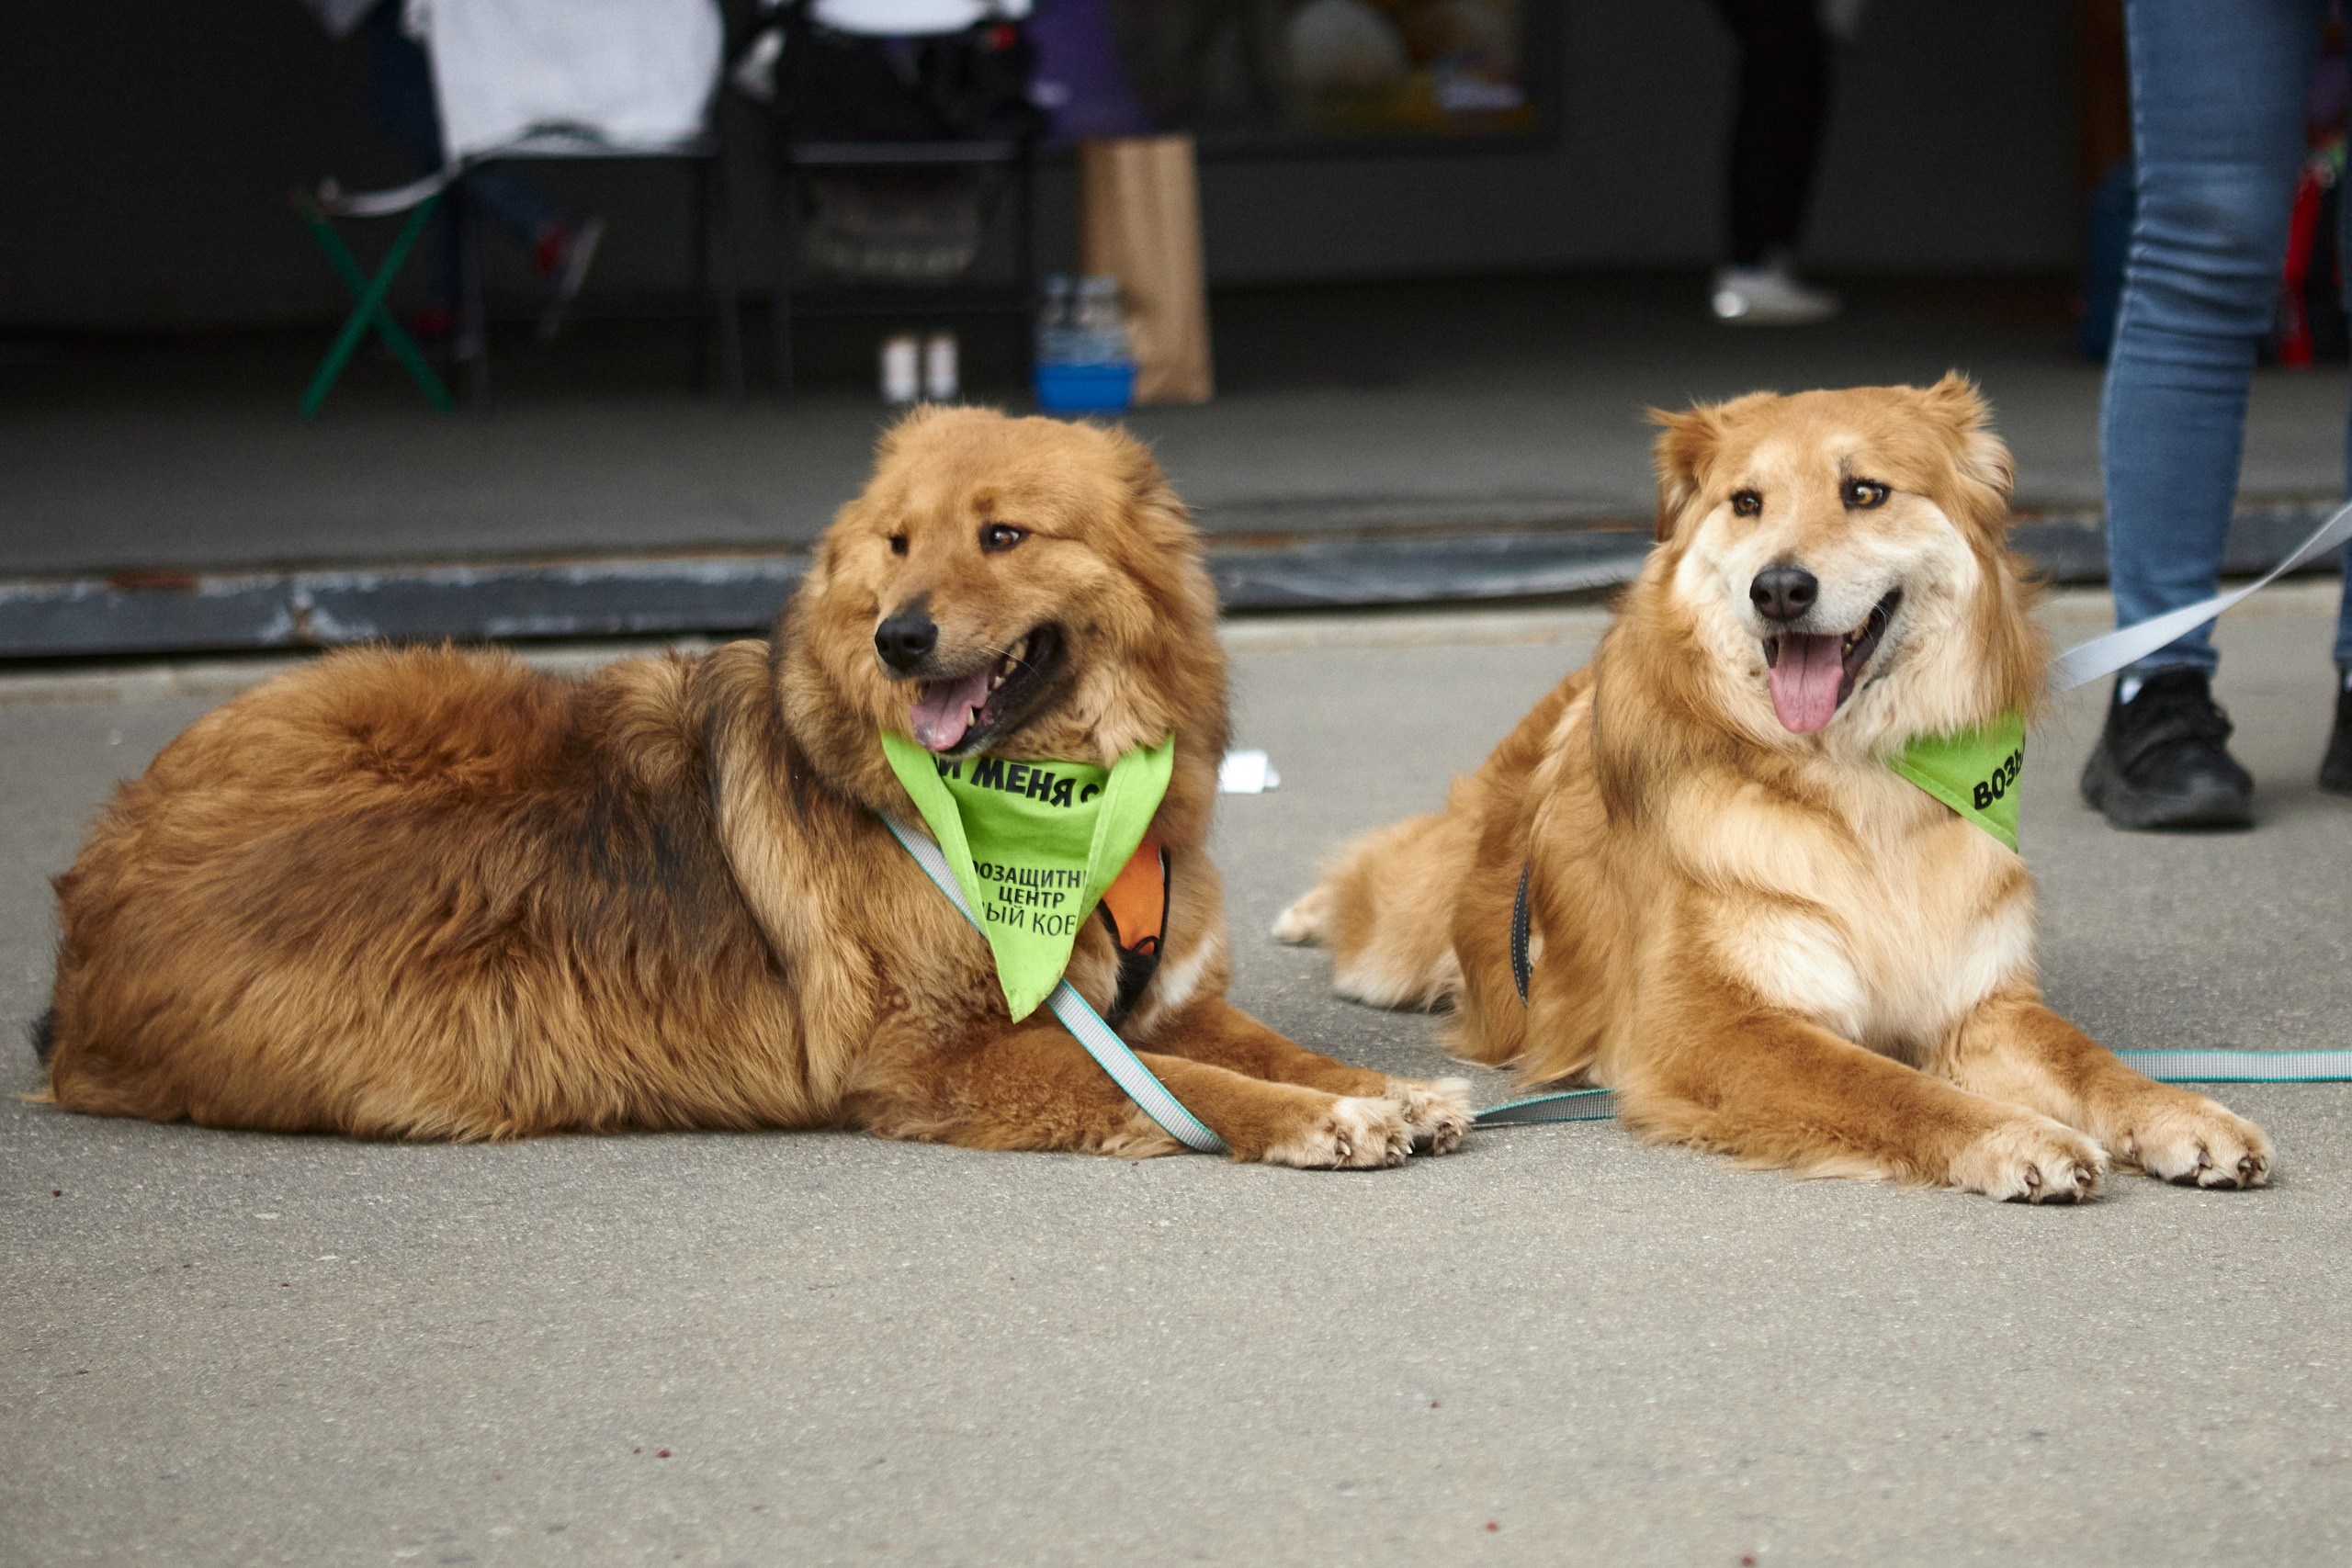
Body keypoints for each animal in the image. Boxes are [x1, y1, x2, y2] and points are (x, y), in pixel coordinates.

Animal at [1288, 376, 2277, 1203]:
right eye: (1747, 503)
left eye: (1865, 492)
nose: (1780, 589)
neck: (1857, 787)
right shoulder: (1712, 1027)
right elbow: (1888, 1086)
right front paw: (2013, 1135)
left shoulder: (1980, 1006)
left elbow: (2090, 1062)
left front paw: (2186, 1114)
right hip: (1407, 931)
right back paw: (1306, 909)